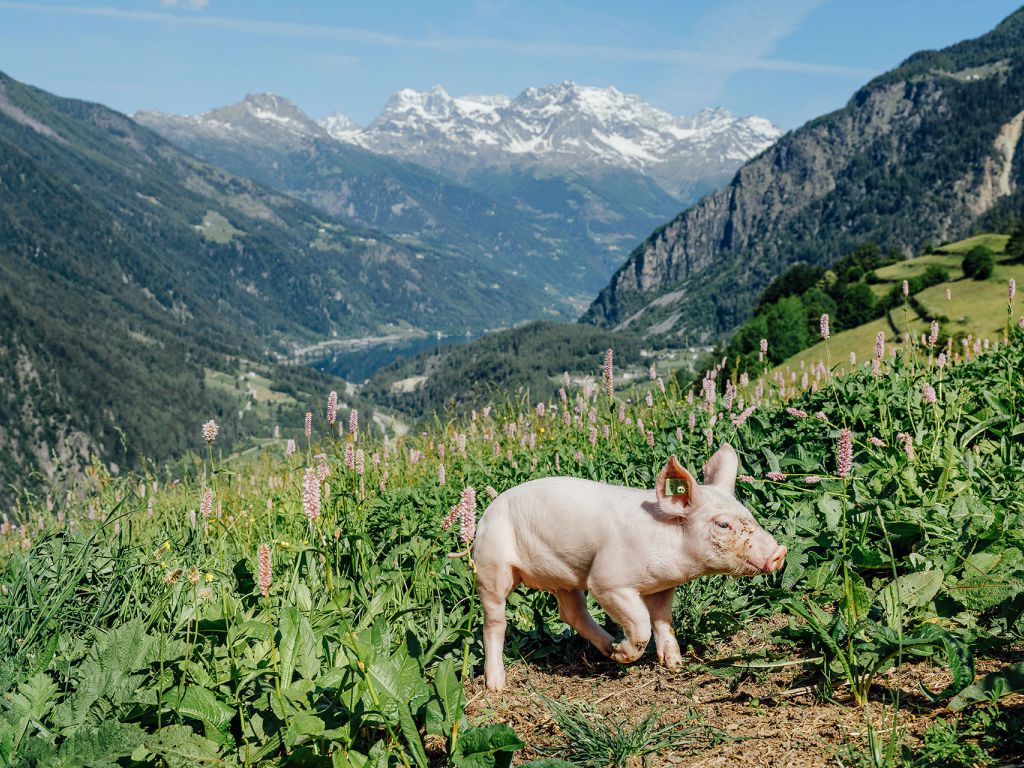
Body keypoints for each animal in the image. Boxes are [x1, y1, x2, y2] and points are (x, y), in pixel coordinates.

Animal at [471, 444, 782, 692]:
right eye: (723, 524)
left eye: (748, 515)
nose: (779, 552)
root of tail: (486, 514)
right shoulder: (608, 581)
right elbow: (642, 622)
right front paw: (625, 655)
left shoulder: (662, 586)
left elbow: (662, 621)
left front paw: (674, 664)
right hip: (491, 565)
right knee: (495, 621)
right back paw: (496, 687)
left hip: (564, 576)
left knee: (572, 613)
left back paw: (608, 648)